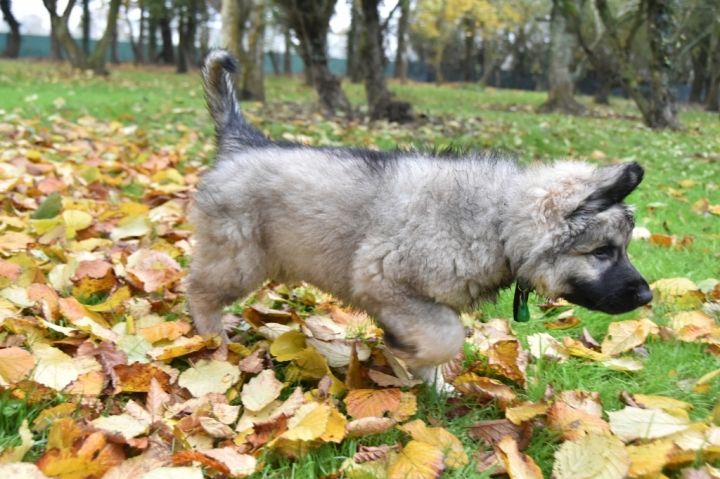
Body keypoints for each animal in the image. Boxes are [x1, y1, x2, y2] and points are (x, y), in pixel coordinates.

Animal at [187, 50, 652, 385]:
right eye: (603, 252)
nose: (648, 297)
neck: (498, 221)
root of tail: (242, 142)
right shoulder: (385, 280)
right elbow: (446, 335)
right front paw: (407, 353)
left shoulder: (426, 299)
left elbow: (438, 339)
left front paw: (434, 387)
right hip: (238, 259)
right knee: (199, 291)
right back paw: (213, 340)